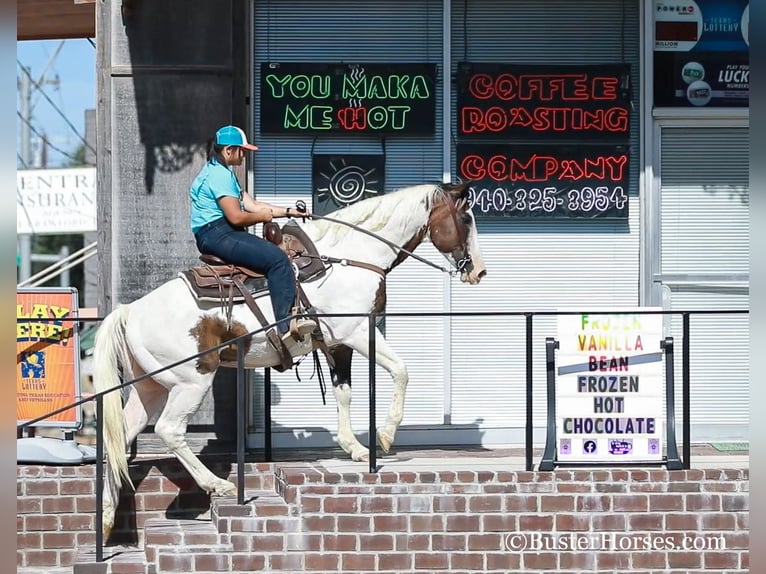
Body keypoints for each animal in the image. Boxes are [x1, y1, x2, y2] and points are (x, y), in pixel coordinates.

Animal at [93, 180, 488, 536]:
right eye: (466, 218)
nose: (479, 271)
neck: (352, 259)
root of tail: (130, 311)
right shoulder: (358, 332)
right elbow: (401, 370)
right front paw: (387, 436)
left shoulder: (338, 343)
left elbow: (344, 392)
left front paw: (355, 448)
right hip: (191, 380)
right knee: (169, 430)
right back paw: (217, 485)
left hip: (149, 386)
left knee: (121, 435)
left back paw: (109, 517)